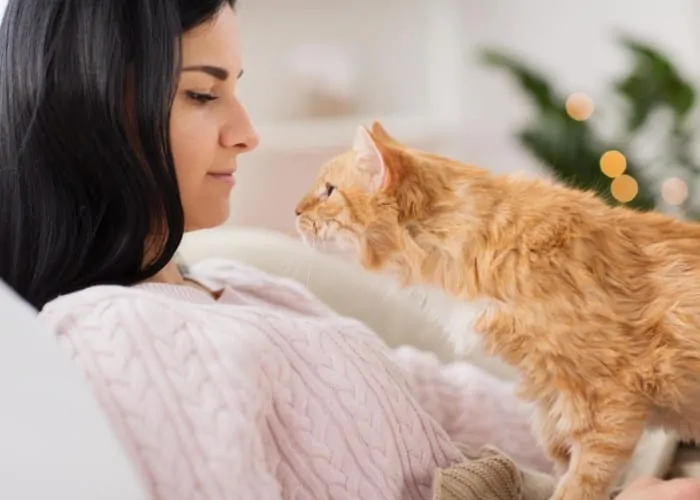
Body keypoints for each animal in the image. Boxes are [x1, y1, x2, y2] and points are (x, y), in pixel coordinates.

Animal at [296, 122, 700, 500]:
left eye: (328, 191)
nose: (296, 210)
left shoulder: (609, 393)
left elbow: (583, 477)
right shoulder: (552, 397)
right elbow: (559, 457)